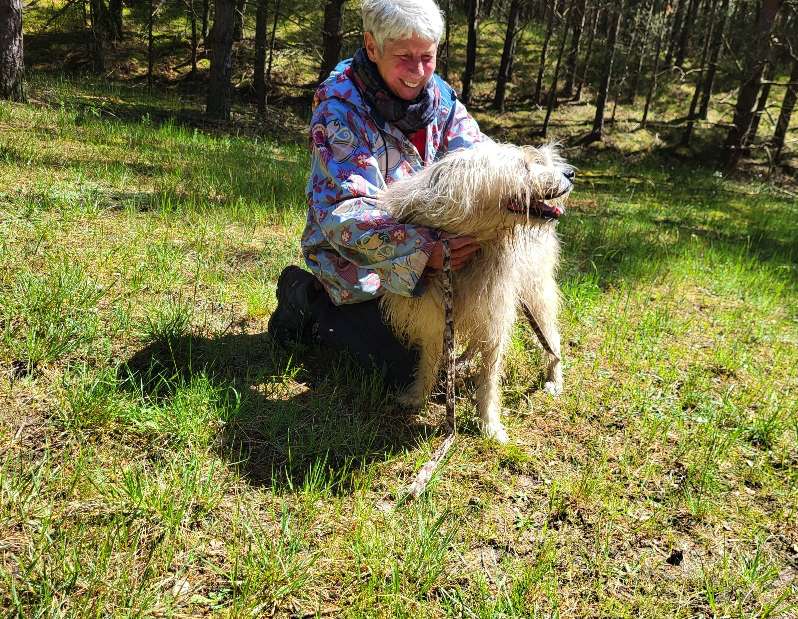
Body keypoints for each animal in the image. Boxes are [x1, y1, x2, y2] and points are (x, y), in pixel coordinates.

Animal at [377, 141, 573, 443]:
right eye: (524, 165)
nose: (570, 173)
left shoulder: (496, 312)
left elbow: (489, 377)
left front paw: (489, 424)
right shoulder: (436, 318)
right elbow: (429, 359)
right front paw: (418, 396)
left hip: (536, 290)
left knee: (551, 336)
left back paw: (554, 377)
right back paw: (464, 360)